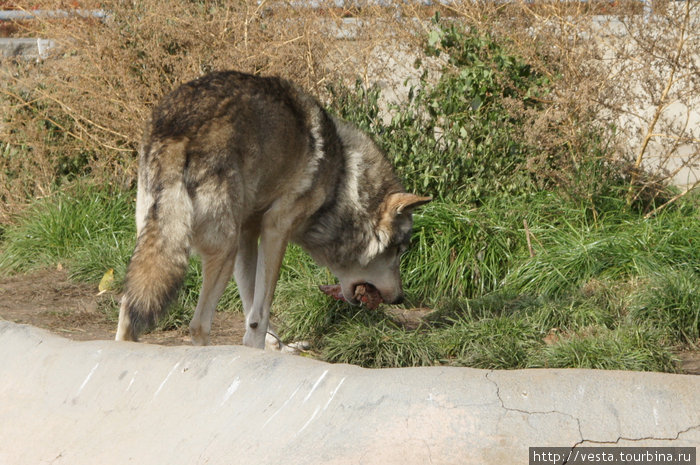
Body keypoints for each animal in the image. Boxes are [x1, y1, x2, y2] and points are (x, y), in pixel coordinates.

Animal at [114, 70, 430, 346]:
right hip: (223, 250)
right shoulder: (275, 230)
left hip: (159, 247)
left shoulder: (247, 235)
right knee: (198, 325)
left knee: (128, 312)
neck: (343, 178)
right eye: (399, 250)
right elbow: (259, 315)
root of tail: (178, 130)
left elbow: (249, 306)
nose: (400, 298)